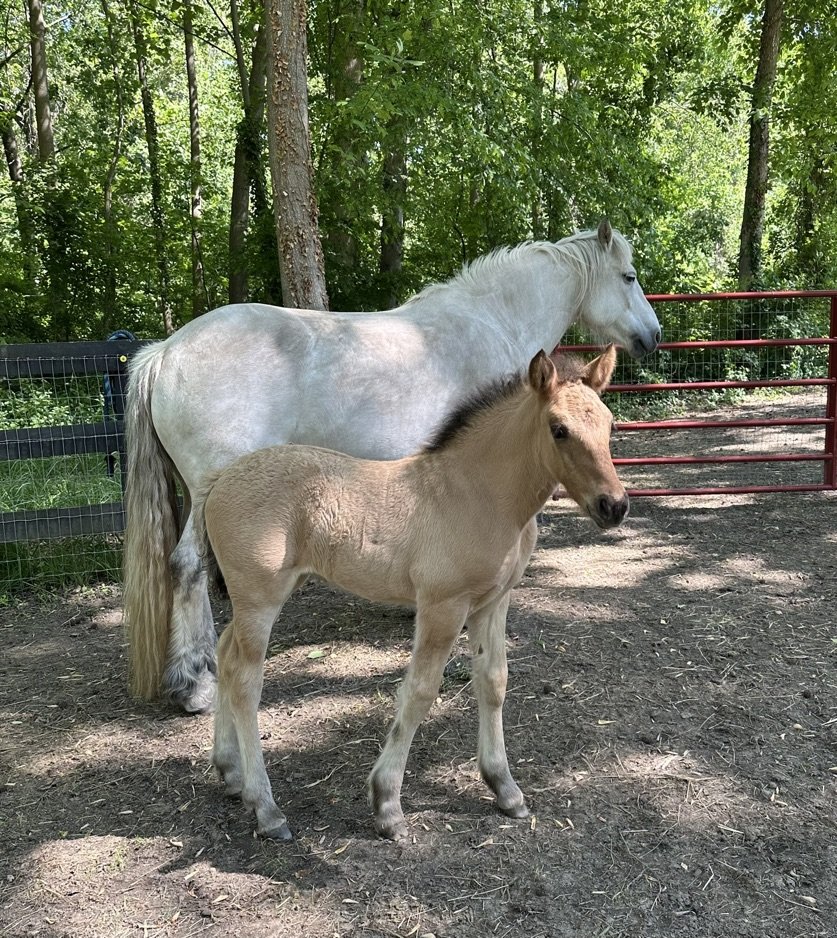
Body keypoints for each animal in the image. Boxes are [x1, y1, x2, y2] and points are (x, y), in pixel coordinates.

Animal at [124, 220, 659, 714]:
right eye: (629, 276)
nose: (653, 336)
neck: (493, 320)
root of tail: (164, 353)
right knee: (189, 565)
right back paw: (196, 684)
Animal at [187, 346, 627, 840]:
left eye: (610, 424)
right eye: (559, 429)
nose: (614, 506)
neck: (479, 494)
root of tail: (219, 480)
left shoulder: (493, 602)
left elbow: (493, 681)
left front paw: (505, 788)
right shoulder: (443, 605)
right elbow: (420, 691)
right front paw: (387, 804)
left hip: (259, 599)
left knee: (225, 657)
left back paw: (230, 773)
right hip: (259, 599)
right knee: (245, 679)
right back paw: (267, 808)